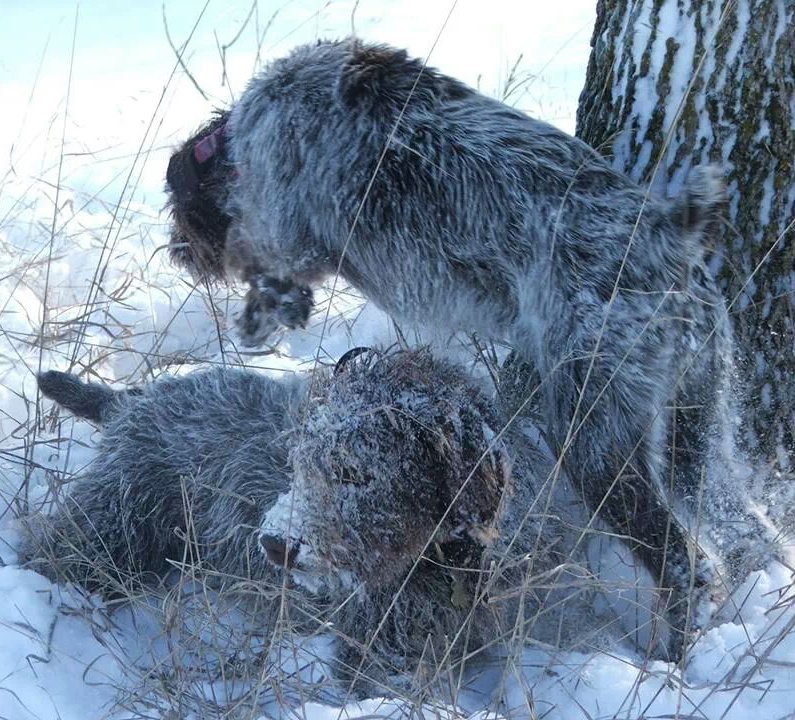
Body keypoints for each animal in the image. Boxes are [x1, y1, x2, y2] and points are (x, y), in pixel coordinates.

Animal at [166, 38, 732, 648]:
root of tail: (666, 236)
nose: (175, 252)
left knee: (688, 565)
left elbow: (275, 281)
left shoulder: (283, 230)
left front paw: (253, 326)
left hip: (598, 440)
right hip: (695, 424)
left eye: (178, 206)